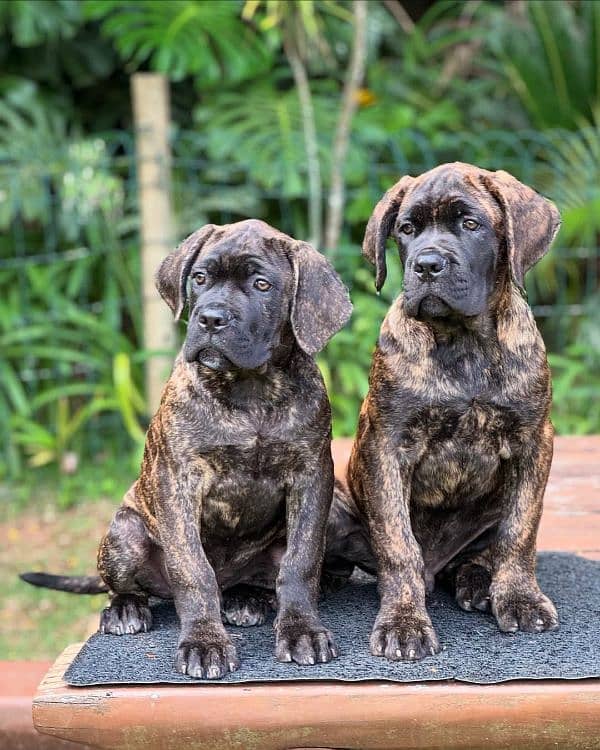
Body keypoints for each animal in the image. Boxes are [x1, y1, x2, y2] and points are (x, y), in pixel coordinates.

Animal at [23, 219, 352, 680]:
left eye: (262, 284)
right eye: (200, 278)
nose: (210, 318)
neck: (250, 388)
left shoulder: (311, 475)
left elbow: (301, 563)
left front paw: (302, 630)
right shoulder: (178, 479)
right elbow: (192, 570)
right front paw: (204, 642)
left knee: (261, 577)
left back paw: (246, 598)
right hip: (125, 534)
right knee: (127, 585)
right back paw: (126, 609)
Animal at [326, 163, 560, 664]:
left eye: (471, 224)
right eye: (407, 229)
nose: (427, 265)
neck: (463, 342)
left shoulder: (534, 441)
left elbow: (520, 529)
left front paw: (520, 599)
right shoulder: (387, 445)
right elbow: (399, 544)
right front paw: (403, 622)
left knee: (479, 553)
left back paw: (477, 584)